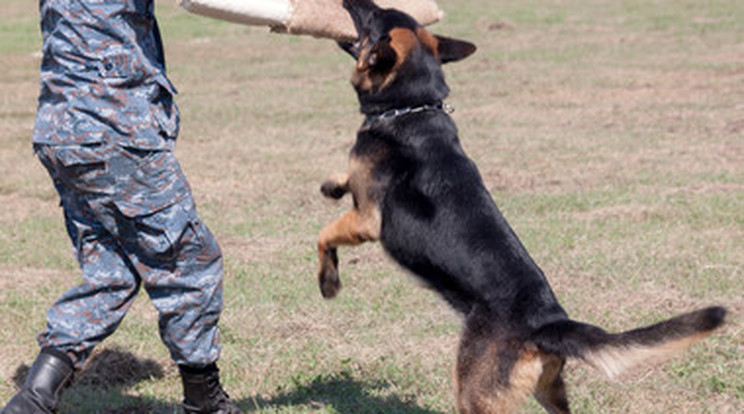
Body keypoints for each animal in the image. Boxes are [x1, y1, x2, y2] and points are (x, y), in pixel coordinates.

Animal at [314, 1, 728, 412]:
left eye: (374, 16)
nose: (351, 2)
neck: (411, 107)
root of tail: (547, 323)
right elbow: (342, 185)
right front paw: (332, 185)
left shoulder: (368, 221)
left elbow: (323, 234)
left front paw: (328, 282)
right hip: (548, 391)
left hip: (474, 393)